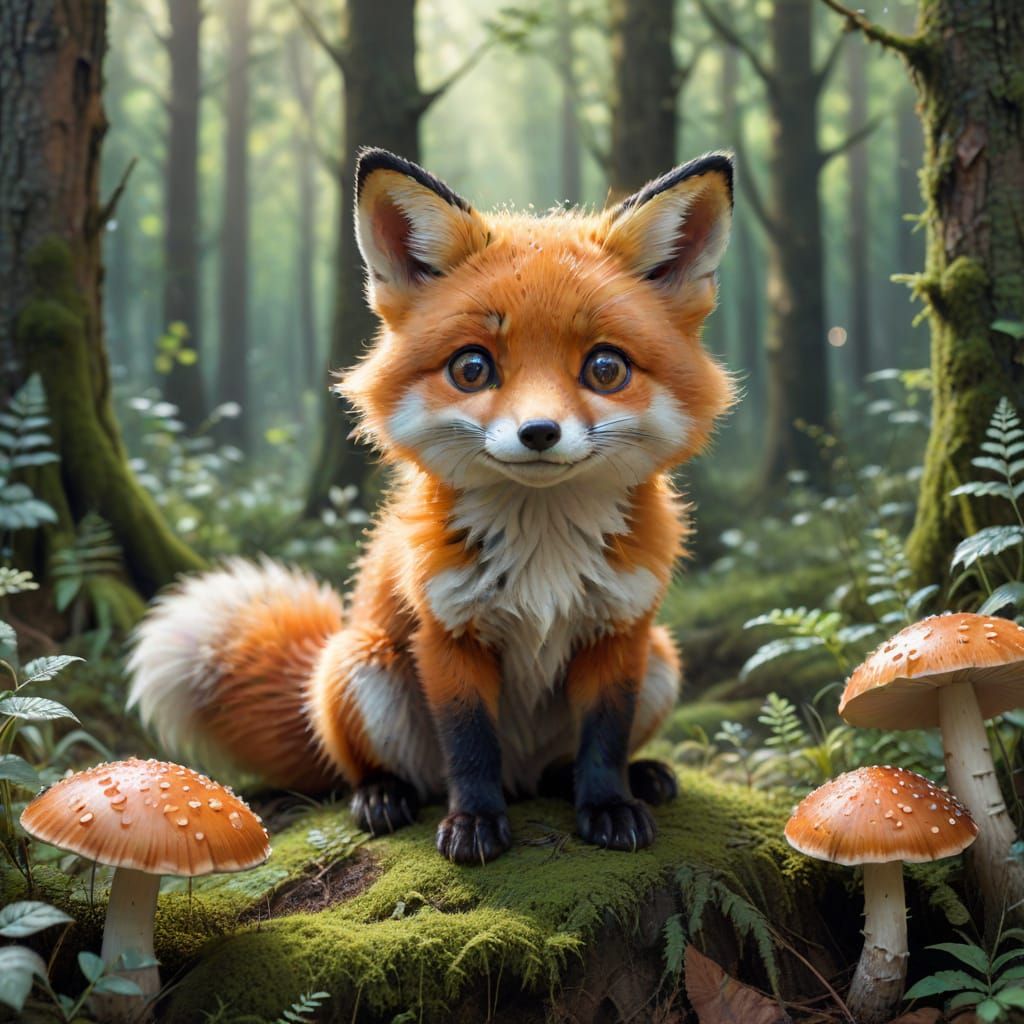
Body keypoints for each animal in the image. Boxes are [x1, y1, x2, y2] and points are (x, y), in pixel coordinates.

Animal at [128, 148, 736, 864]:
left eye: (605, 369)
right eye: (471, 368)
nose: (539, 432)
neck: (544, 552)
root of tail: (523, 775)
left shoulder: (620, 630)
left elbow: (604, 741)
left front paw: (609, 806)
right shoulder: (447, 632)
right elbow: (468, 747)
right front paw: (473, 823)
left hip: (662, 660)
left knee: (563, 765)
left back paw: (632, 777)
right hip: (363, 665)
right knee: (383, 771)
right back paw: (382, 796)